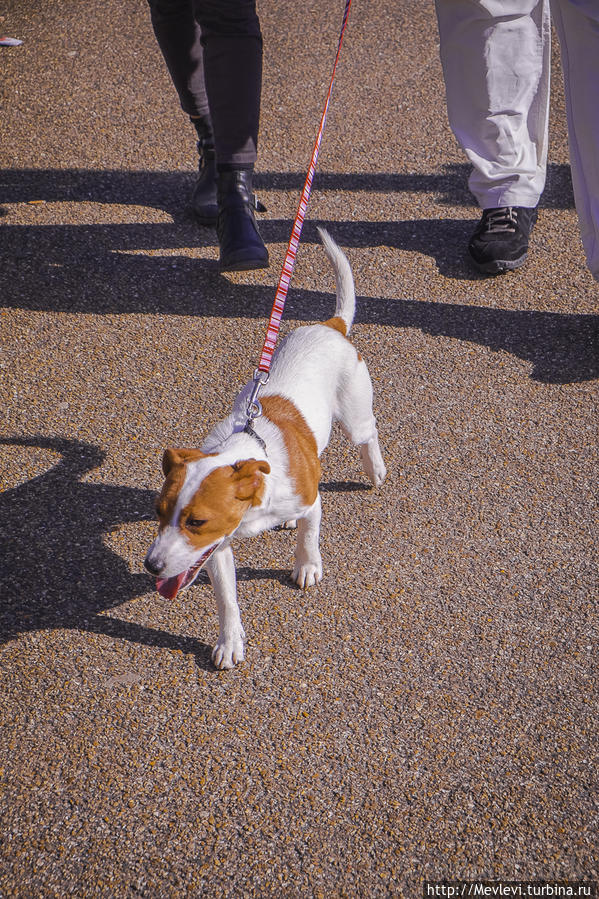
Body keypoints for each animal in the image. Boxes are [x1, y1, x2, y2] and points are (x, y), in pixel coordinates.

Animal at [148, 230, 386, 668]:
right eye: (159, 512)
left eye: (196, 521)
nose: (151, 566)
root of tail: (330, 326)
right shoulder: (217, 548)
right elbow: (227, 600)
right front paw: (229, 643)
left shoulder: (312, 500)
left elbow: (310, 537)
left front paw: (308, 566)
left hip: (356, 418)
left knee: (369, 435)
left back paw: (375, 470)